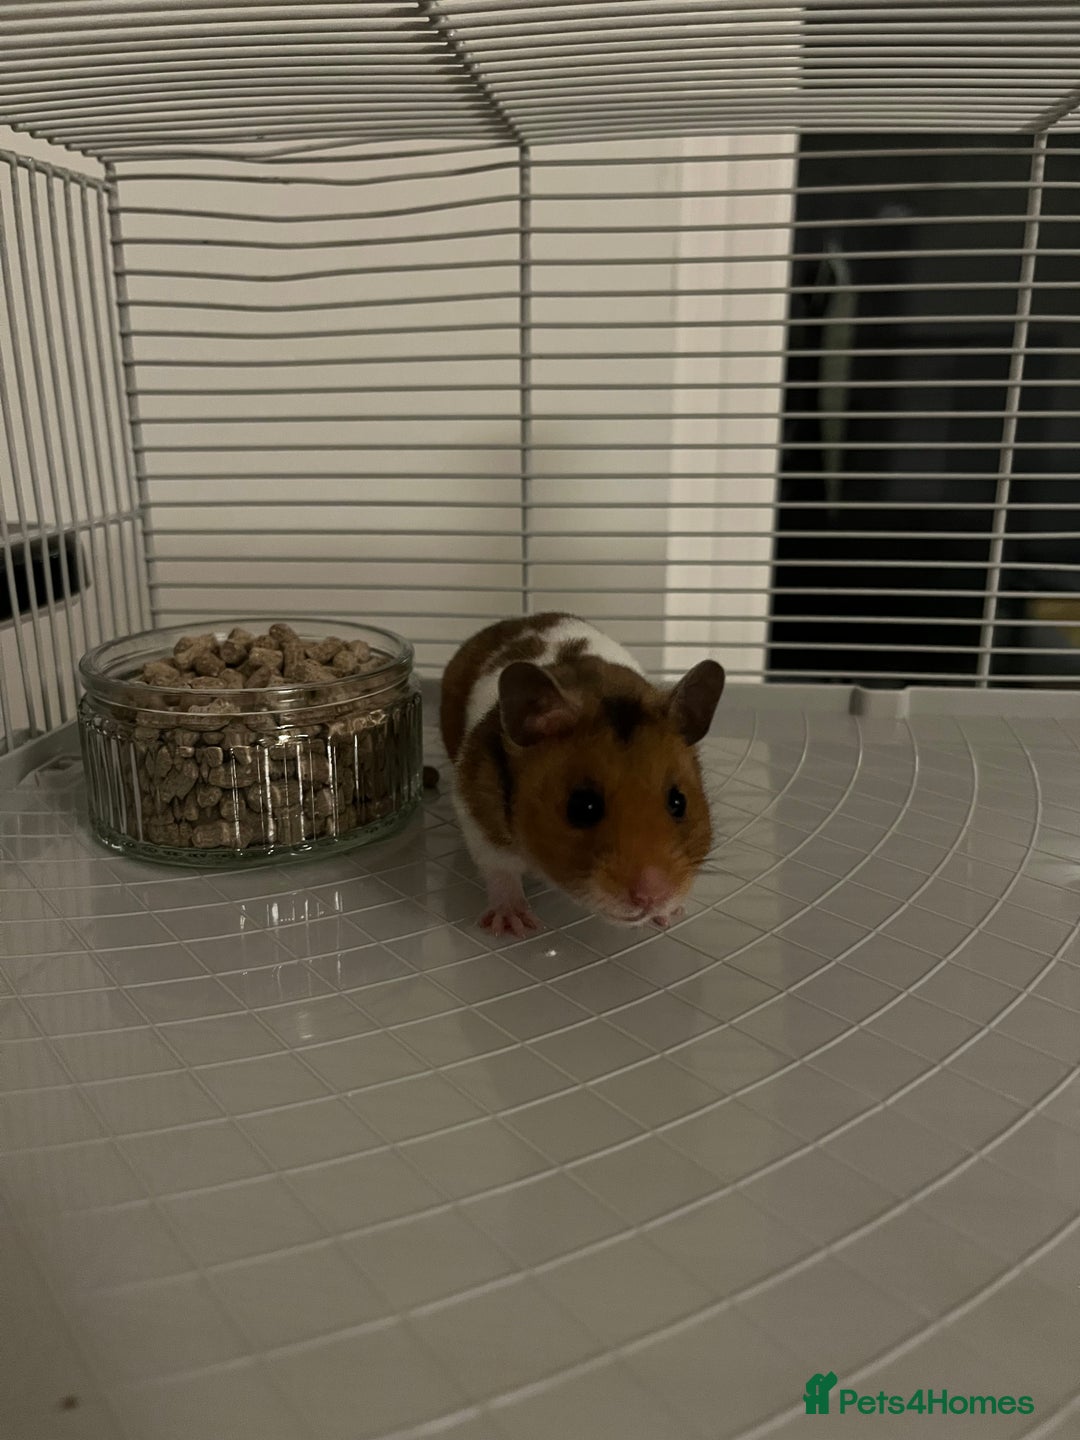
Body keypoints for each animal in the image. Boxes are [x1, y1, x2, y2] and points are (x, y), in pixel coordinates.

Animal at [439, 613, 725, 937]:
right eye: (582, 807)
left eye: (679, 802)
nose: (652, 896)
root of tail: (519, 618)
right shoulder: (476, 812)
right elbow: (499, 870)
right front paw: (513, 926)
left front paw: (668, 915)